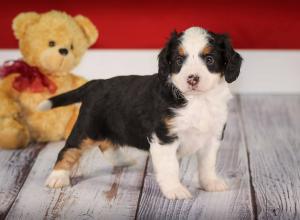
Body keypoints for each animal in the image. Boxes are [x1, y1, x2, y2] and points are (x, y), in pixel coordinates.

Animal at [38, 27, 243, 199]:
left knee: (106, 144)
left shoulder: (212, 136)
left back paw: (121, 160)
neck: (197, 101)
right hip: (87, 129)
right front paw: (175, 190)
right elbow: (170, 168)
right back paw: (57, 177)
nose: (192, 79)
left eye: (209, 59)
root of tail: (95, 83)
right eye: (179, 60)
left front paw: (211, 183)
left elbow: (208, 164)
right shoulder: (165, 138)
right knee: (68, 150)